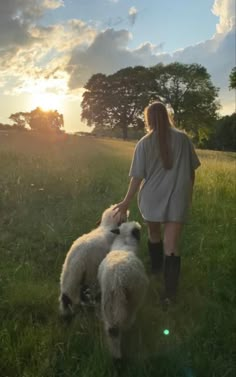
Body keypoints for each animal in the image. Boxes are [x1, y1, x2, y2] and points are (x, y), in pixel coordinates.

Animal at [97, 220, 148, 358]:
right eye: (137, 231)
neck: (123, 244)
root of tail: (119, 279)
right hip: (134, 296)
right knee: (128, 319)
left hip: (108, 302)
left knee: (112, 330)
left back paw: (116, 356)